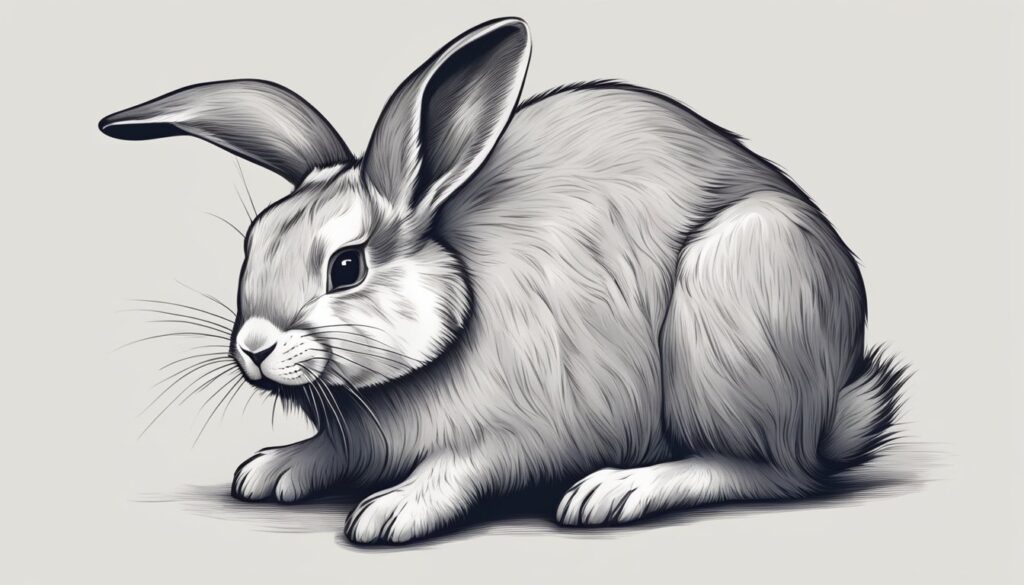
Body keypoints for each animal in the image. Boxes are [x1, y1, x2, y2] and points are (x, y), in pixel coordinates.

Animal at [100, 17, 907, 544]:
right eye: (254, 240)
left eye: (346, 265)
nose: (254, 347)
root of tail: (830, 406)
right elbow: (332, 452)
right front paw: (271, 469)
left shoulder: (527, 424)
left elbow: (461, 466)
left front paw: (390, 512)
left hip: (735, 294)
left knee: (770, 469)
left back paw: (616, 490)